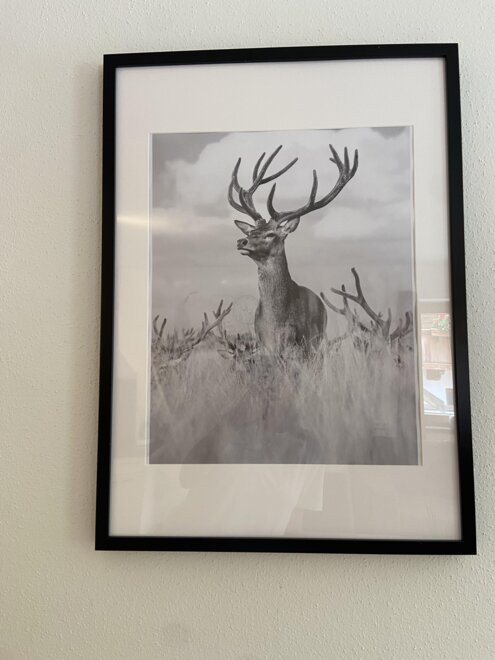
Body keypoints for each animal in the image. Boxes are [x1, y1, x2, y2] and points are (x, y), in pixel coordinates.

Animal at [228, 143, 358, 354]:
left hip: (315, 341)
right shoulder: (264, 346)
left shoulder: (297, 343)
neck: (275, 324)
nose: (242, 241)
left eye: (271, 234)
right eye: (252, 231)